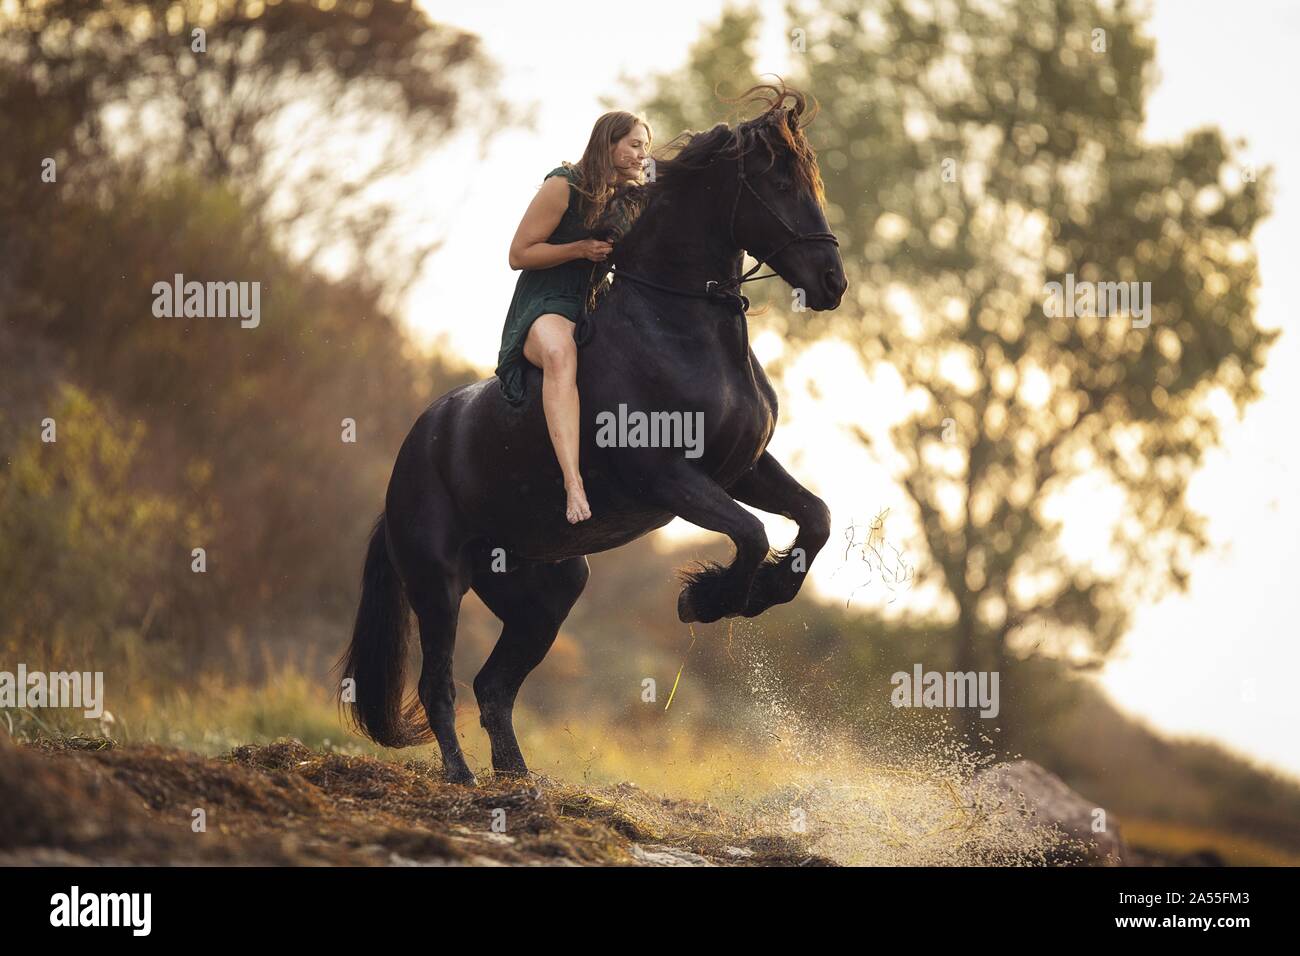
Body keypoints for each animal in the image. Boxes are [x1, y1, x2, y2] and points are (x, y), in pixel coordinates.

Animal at [338, 83, 842, 785]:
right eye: (779, 179)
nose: (832, 282)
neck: (678, 322)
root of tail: (403, 471)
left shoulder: (743, 467)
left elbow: (814, 519)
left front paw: (761, 592)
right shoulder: (670, 477)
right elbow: (751, 533)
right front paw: (706, 600)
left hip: (545, 588)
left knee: (493, 686)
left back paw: (519, 780)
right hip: (438, 582)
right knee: (440, 685)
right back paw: (464, 778)